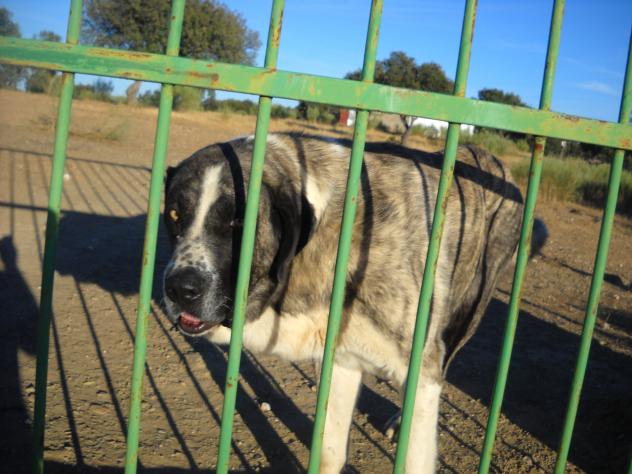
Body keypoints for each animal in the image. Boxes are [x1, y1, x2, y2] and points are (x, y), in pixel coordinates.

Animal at [161, 133, 546, 473]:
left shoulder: (419, 364)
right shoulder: (343, 358)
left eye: (238, 221)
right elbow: (329, 452)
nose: (178, 288)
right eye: (175, 215)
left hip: (466, 314)